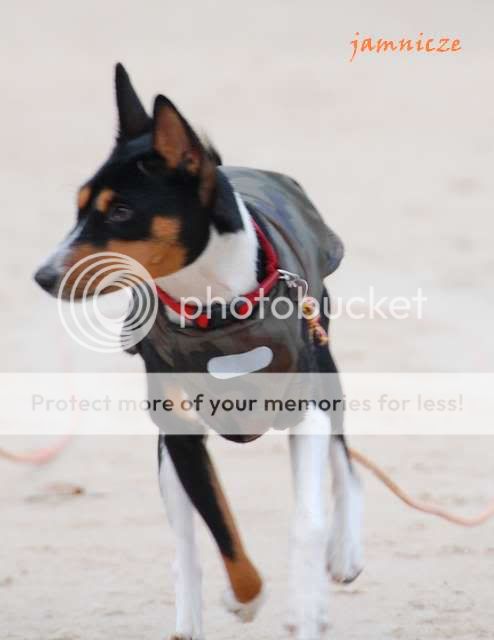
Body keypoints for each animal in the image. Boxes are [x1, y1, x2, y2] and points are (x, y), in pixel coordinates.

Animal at [34, 63, 363, 640]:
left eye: (121, 211)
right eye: (78, 209)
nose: (43, 276)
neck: (214, 311)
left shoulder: (306, 412)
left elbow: (308, 520)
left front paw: (306, 606)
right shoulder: (181, 431)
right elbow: (219, 525)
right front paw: (245, 599)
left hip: (327, 369)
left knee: (345, 462)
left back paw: (344, 552)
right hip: (166, 450)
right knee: (185, 543)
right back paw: (189, 616)